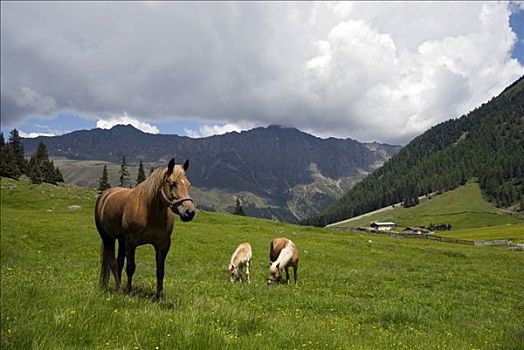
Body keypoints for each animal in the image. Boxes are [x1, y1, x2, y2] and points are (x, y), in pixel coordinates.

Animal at [93, 158, 194, 300]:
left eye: (188, 185)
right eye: (172, 184)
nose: (189, 212)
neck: (149, 211)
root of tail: (104, 195)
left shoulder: (163, 244)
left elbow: (160, 271)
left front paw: (159, 298)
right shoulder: (131, 242)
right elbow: (130, 267)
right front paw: (129, 292)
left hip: (121, 240)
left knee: (118, 262)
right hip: (108, 238)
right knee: (112, 262)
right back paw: (118, 288)